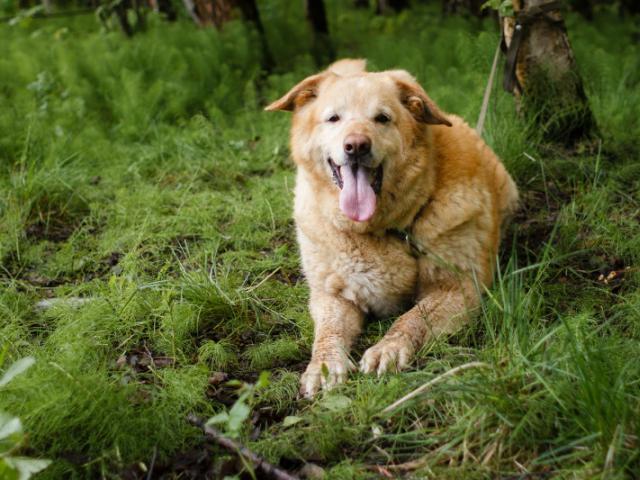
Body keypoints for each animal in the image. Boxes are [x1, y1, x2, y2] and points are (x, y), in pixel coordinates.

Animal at [264, 59, 520, 398]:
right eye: (333, 118)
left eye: (382, 118)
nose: (356, 146)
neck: (379, 229)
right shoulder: (332, 296)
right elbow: (328, 333)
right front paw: (323, 366)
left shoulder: (460, 288)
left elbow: (412, 318)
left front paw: (389, 348)